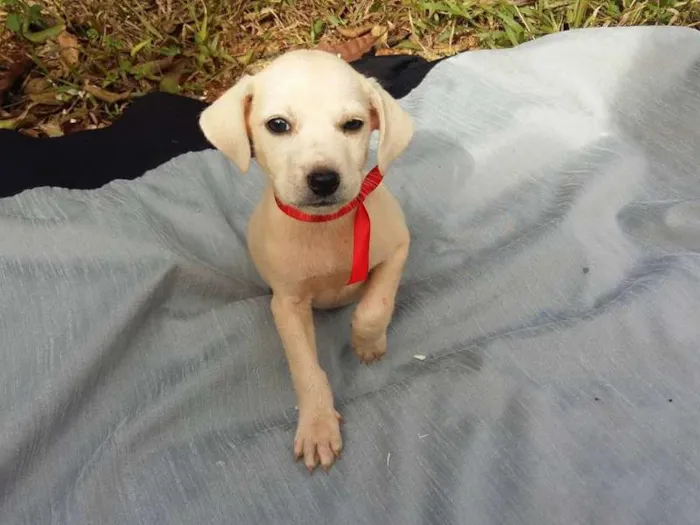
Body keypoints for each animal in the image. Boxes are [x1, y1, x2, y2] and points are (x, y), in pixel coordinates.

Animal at [200, 49, 412, 470]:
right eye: (278, 125)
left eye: (353, 124)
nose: (324, 180)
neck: (324, 226)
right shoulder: (286, 303)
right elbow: (306, 369)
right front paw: (317, 427)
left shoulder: (398, 247)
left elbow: (374, 307)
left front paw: (367, 344)